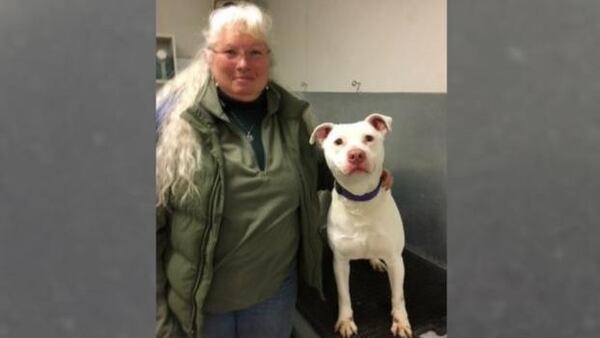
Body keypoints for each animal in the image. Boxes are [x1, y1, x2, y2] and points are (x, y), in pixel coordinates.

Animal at [310, 113, 412, 338]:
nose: (356, 154)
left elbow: (398, 295)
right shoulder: (340, 262)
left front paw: (401, 321)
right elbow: (344, 295)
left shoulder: (395, 260)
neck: (360, 198)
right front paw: (345, 321)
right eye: (338, 141)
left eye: (369, 138)